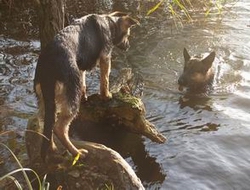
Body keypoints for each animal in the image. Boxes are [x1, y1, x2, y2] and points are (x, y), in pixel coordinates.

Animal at [33, 11, 139, 160]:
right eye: (128, 35)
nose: (128, 46)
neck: (110, 23)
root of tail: (48, 67)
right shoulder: (105, 57)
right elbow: (105, 80)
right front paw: (106, 96)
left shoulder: (81, 67)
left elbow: (83, 82)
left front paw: (85, 97)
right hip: (71, 95)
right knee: (59, 128)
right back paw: (77, 152)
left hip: (45, 98)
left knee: (46, 123)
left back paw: (52, 148)